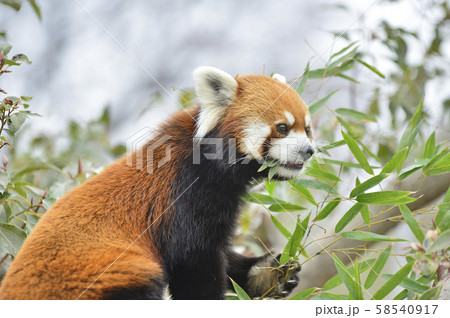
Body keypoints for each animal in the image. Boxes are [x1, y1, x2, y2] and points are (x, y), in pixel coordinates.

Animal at [0, 66, 314, 300]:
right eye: (283, 128)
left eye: (307, 129)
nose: (309, 150)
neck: (208, 163)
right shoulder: (184, 201)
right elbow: (195, 265)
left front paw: (268, 272)